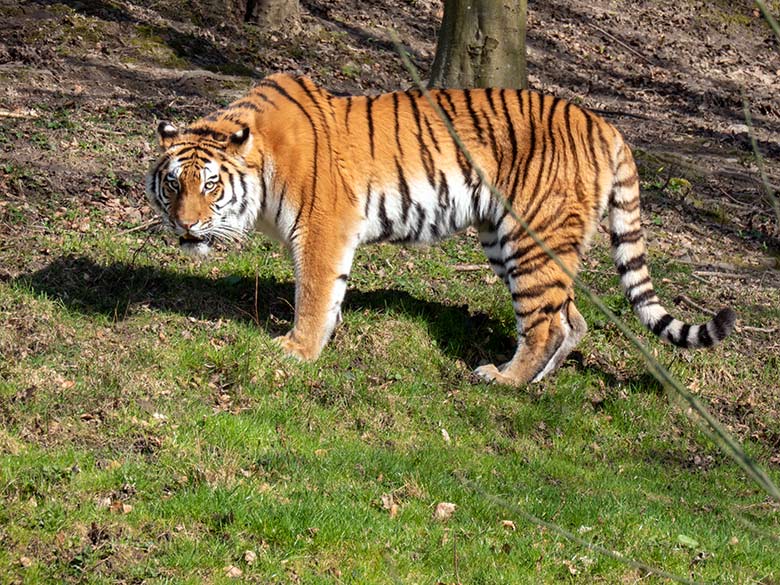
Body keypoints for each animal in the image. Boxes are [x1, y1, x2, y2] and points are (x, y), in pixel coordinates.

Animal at [146, 72, 736, 384]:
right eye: (174, 185)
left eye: (211, 186)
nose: (185, 225)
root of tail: (602, 123)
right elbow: (329, 296)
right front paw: (322, 340)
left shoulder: (323, 228)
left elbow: (312, 293)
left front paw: (296, 351)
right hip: (509, 239)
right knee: (571, 320)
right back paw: (535, 383)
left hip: (529, 238)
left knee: (546, 323)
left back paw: (503, 379)